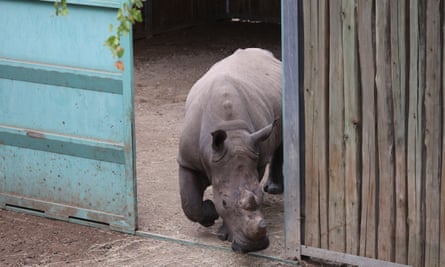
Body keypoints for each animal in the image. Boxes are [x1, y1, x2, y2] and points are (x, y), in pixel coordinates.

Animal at [177, 48, 280, 253]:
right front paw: (210, 213)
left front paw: (225, 234)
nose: (254, 247)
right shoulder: (187, 161)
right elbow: (190, 203)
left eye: (260, 196)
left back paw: (274, 189)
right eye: (223, 201)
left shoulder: (254, 153)